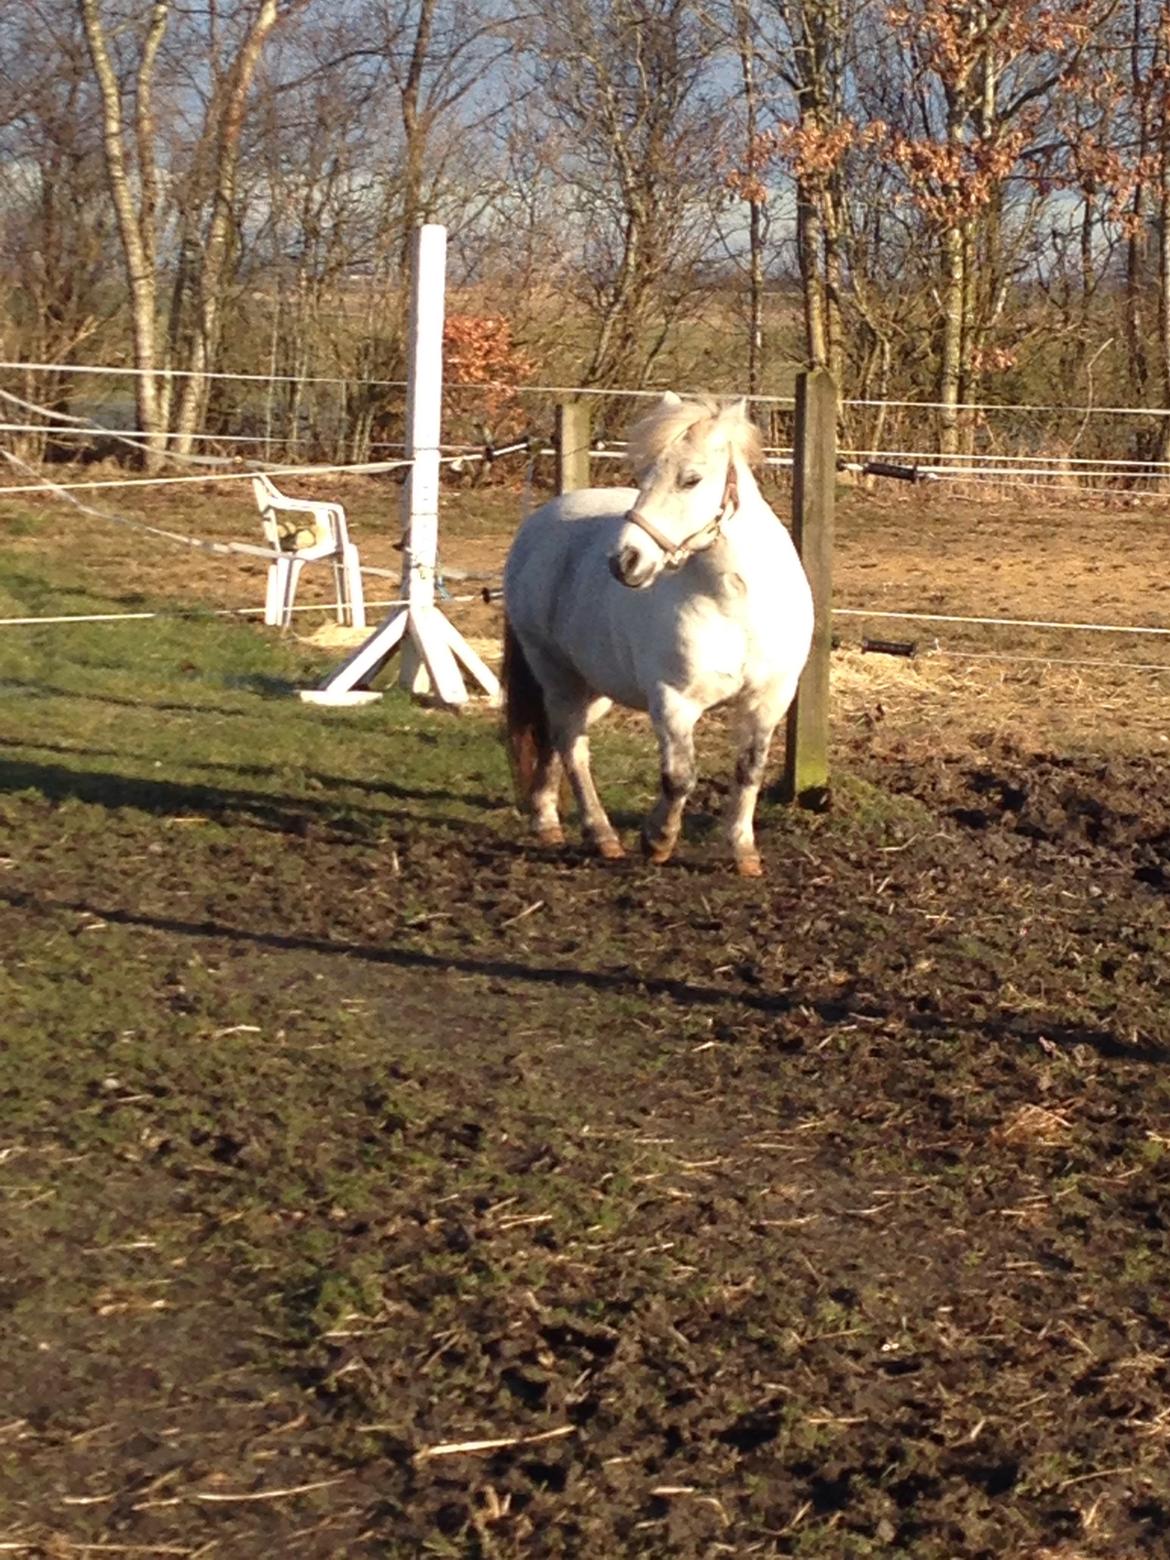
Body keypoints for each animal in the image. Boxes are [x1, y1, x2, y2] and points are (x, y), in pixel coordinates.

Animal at [502, 393, 817, 879]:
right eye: (643, 476)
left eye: (691, 479)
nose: (625, 561)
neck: (735, 605)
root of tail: (536, 527)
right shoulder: (673, 702)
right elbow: (679, 777)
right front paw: (657, 841)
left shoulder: (769, 700)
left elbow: (749, 771)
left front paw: (743, 851)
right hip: (557, 675)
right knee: (572, 746)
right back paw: (600, 835)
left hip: (594, 688)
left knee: (554, 740)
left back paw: (547, 821)